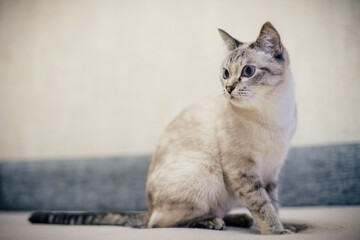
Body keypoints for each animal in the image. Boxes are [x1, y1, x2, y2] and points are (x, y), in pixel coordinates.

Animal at [28, 21, 298, 235]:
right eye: (225, 73)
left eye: (248, 71)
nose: (228, 88)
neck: (274, 114)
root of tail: (148, 208)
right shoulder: (244, 171)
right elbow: (262, 205)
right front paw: (277, 232)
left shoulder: (271, 172)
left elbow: (273, 204)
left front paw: (285, 227)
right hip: (204, 170)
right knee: (160, 222)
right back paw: (211, 221)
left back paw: (240, 219)